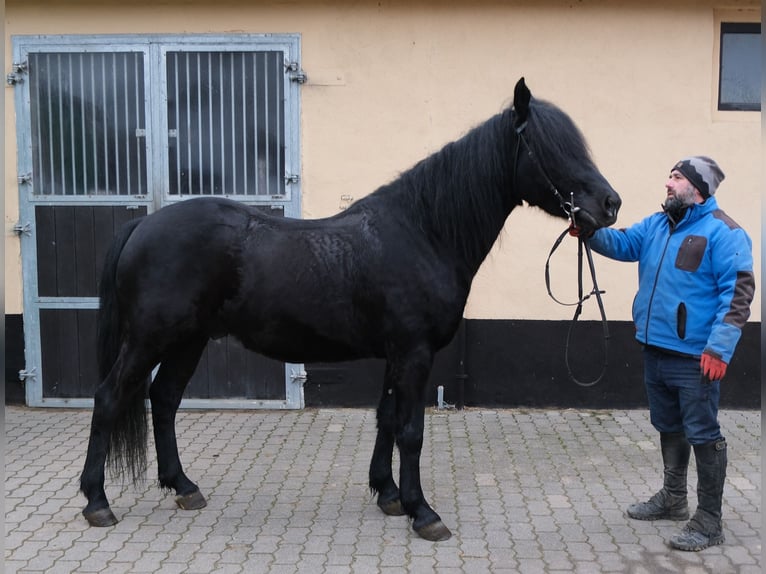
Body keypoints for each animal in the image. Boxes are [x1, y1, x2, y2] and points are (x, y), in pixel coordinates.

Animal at [79, 77, 620, 541]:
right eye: (551, 148)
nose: (610, 204)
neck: (423, 232)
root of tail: (144, 226)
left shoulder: (396, 354)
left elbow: (386, 419)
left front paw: (389, 494)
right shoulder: (415, 353)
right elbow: (411, 431)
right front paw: (423, 512)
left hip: (187, 340)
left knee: (165, 398)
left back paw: (185, 487)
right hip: (149, 338)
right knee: (109, 398)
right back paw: (96, 501)